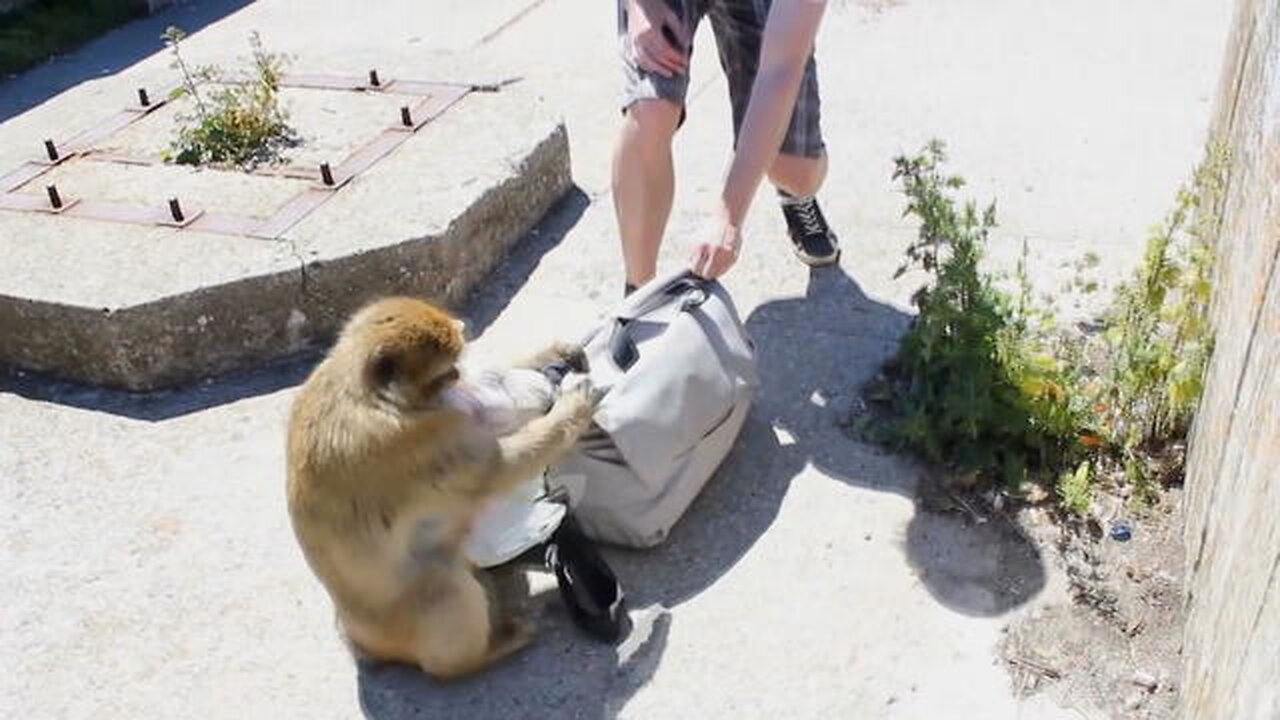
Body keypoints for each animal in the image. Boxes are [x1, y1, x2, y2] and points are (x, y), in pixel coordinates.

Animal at [285, 297, 593, 676]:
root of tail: (364, 644)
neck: (369, 394)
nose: (458, 375)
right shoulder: (428, 441)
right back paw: (485, 652)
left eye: (455, 367)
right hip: (411, 619)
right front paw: (574, 404)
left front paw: (553, 354)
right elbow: (499, 468)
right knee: (446, 588)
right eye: (446, 370)